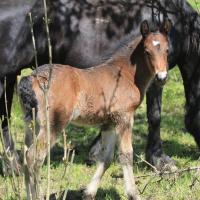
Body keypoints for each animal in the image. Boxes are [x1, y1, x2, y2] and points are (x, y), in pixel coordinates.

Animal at [0, 0, 200, 172]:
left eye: (167, 50)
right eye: (149, 51)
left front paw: (95, 152)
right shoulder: (154, 80)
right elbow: (155, 116)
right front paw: (160, 160)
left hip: (10, 77)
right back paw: (13, 167)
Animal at [18, 19, 171, 199]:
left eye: (167, 50)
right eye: (147, 51)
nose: (161, 78)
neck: (125, 74)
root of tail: (31, 78)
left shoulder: (109, 123)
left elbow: (106, 158)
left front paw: (89, 193)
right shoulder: (125, 117)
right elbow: (126, 155)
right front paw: (133, 194)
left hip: (31, 124)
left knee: (25, 156)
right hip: (53, 123)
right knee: (34, 157)